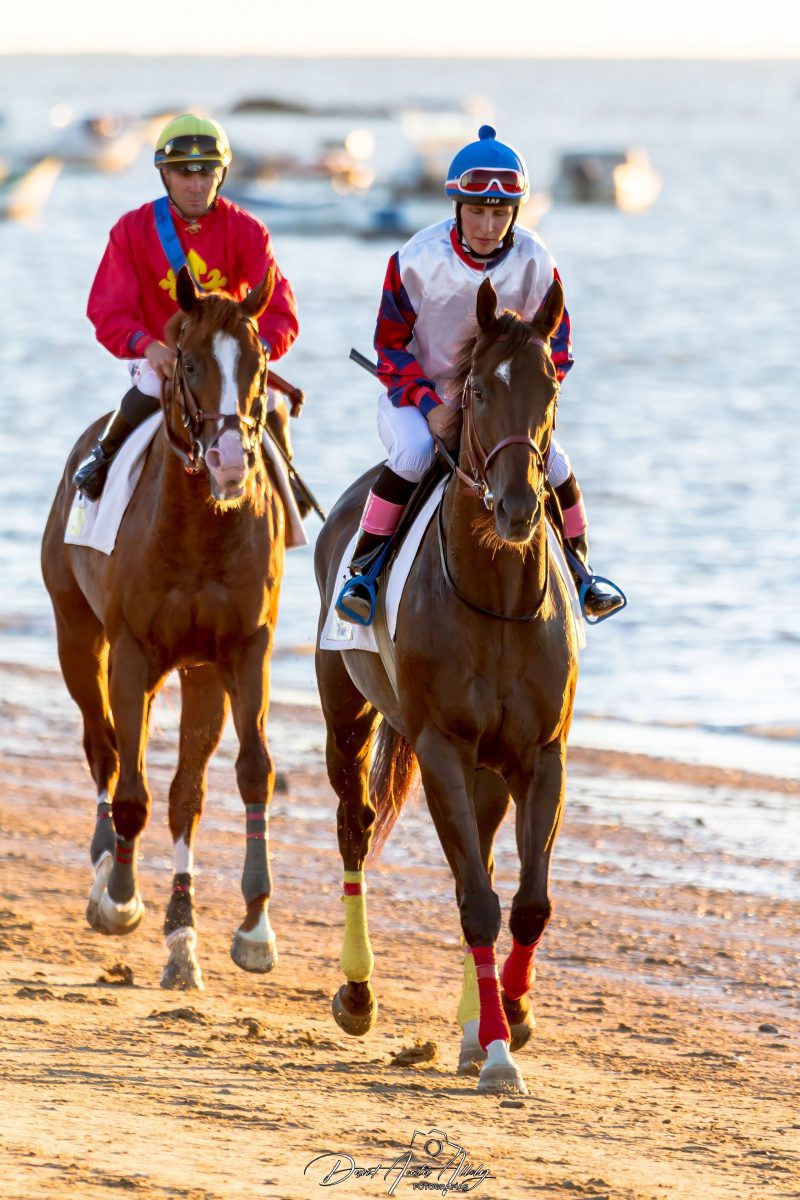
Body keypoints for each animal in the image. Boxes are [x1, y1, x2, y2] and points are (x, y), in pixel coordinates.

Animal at [41, 265, 286, 990]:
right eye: (190, 361)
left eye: (260, 363)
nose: (231, 459)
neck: (202, 523)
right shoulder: (131, 652)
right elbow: (130, 790)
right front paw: (120, 897)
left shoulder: (240, 652)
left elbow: (239, 777)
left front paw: (242, 928)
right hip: (77, 637)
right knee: (103, 747)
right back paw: (106, 864)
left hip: (197, 672)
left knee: (179, 788)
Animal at [314, 277, 579, 1094]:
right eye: (480, 389)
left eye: (550, 385)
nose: (519, 506)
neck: (496, 596)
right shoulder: (440, 748)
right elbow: (477, 905)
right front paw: (495, 1051)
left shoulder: (541, 755)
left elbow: (525, 902)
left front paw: (509, 1019)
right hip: (347, 711)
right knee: (355, 827)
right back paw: (358, 993)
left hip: (489, 770)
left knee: (486, 860)